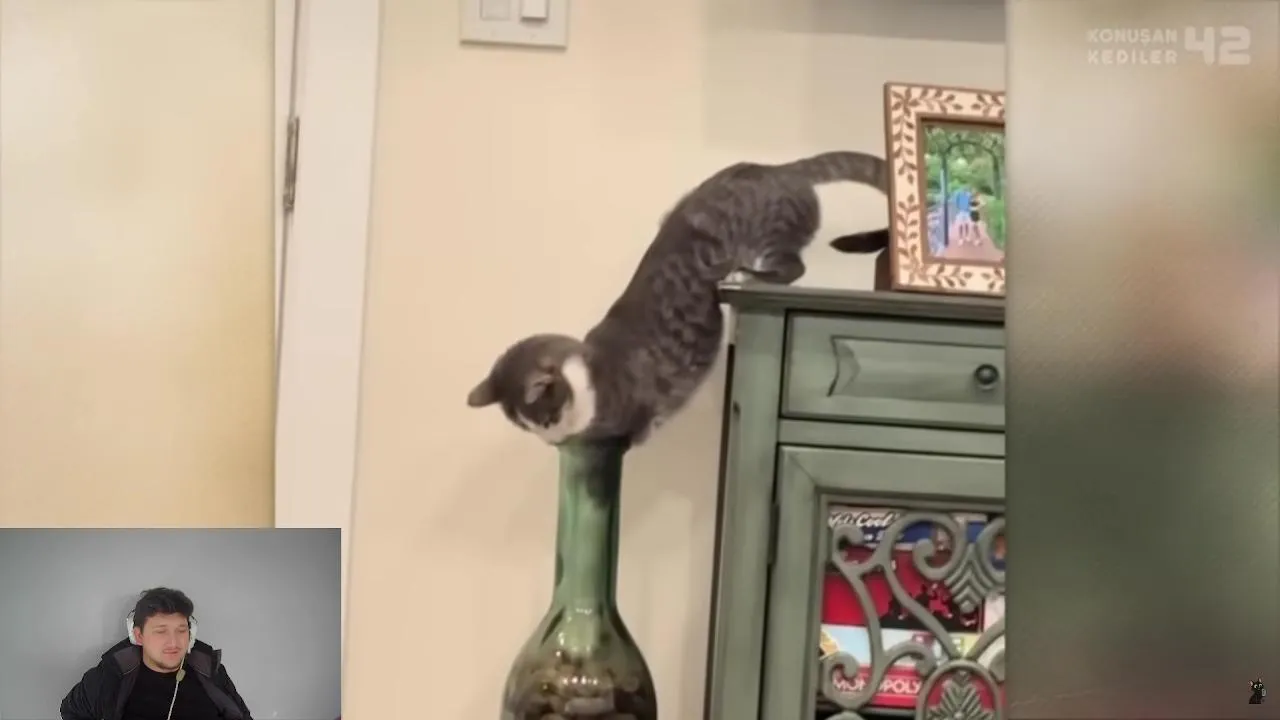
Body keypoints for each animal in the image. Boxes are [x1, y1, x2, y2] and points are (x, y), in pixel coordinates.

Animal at [466, 150, 890, 445]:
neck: (586, 374)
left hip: (769, 236)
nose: (552, 441)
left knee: (793, 267)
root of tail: (780, 168)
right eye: (529, 429)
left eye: (546, 420)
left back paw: (748, 275)